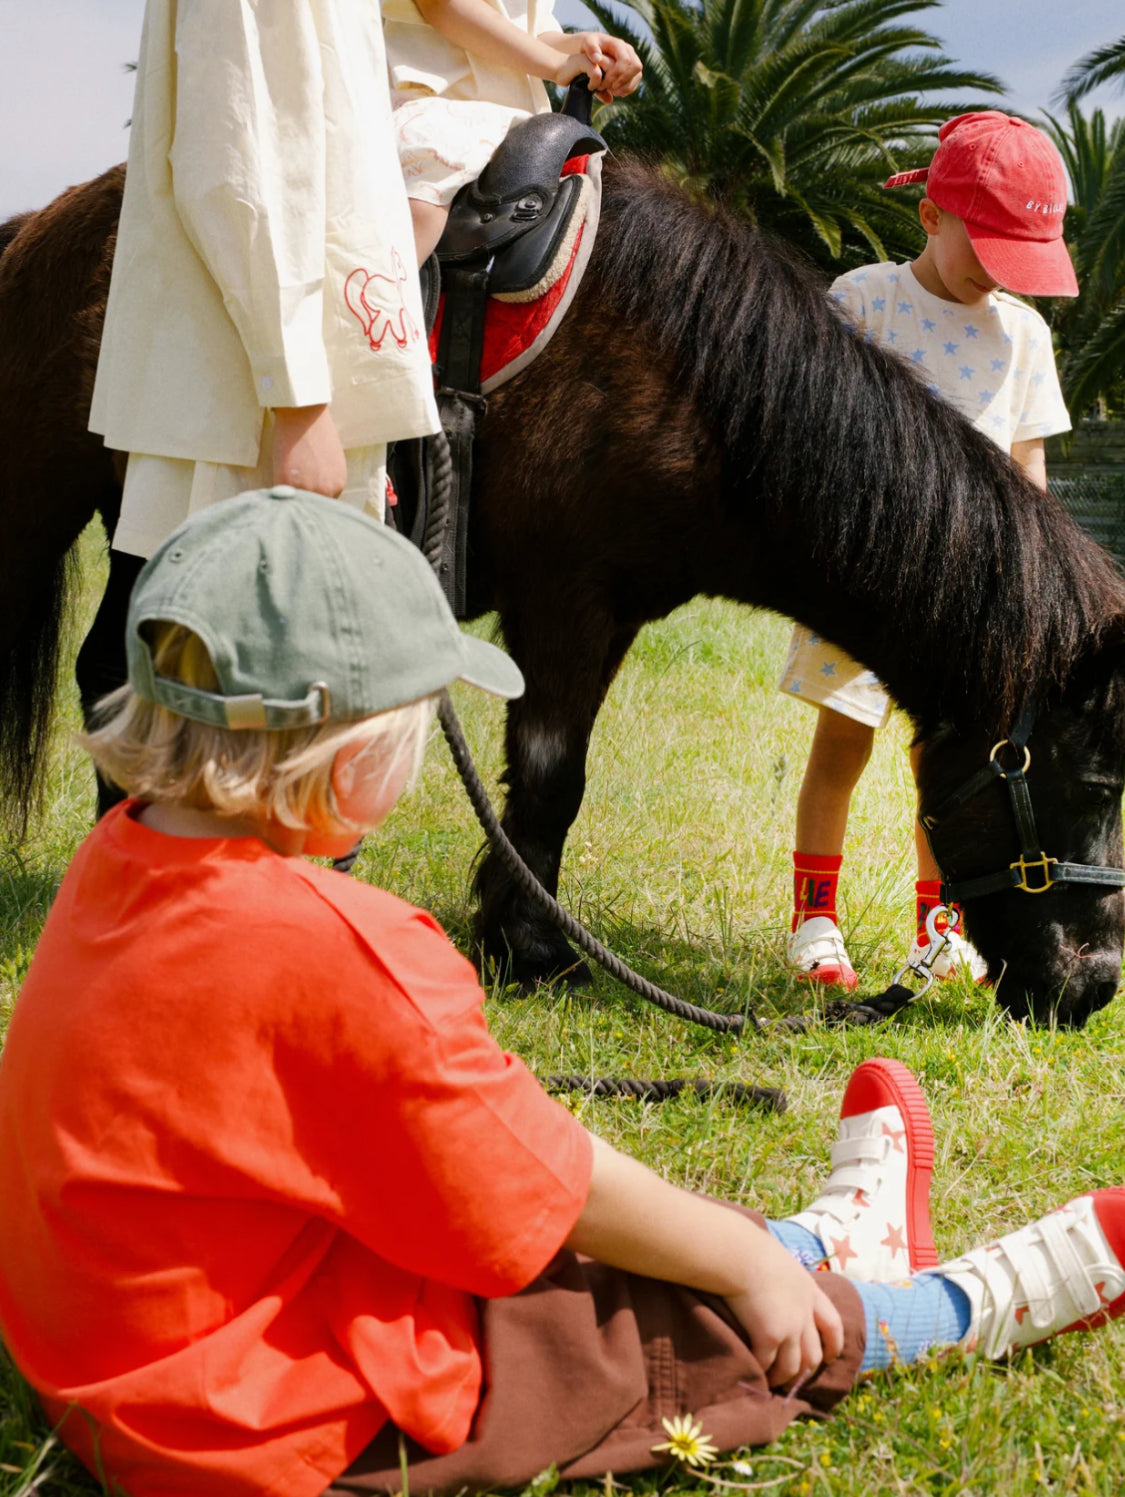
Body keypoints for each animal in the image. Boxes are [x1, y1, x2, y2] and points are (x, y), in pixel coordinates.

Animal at [6, 166, 1125, 1029]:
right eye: (1092, 786)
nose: (1094, 990)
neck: (696, 383)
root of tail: (54, 221)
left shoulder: (611, 611)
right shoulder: (567, 604)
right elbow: (552, 776)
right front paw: (533, 946)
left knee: (119, 676)